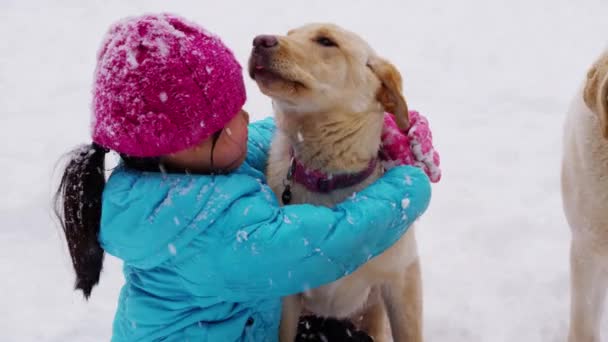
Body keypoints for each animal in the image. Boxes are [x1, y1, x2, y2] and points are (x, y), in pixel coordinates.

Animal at [249, 22, 420, 340]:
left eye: (326, 41)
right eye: (290, 34)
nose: (259, 41)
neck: (327, 179)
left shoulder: (403, 278)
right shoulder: (286, 297)